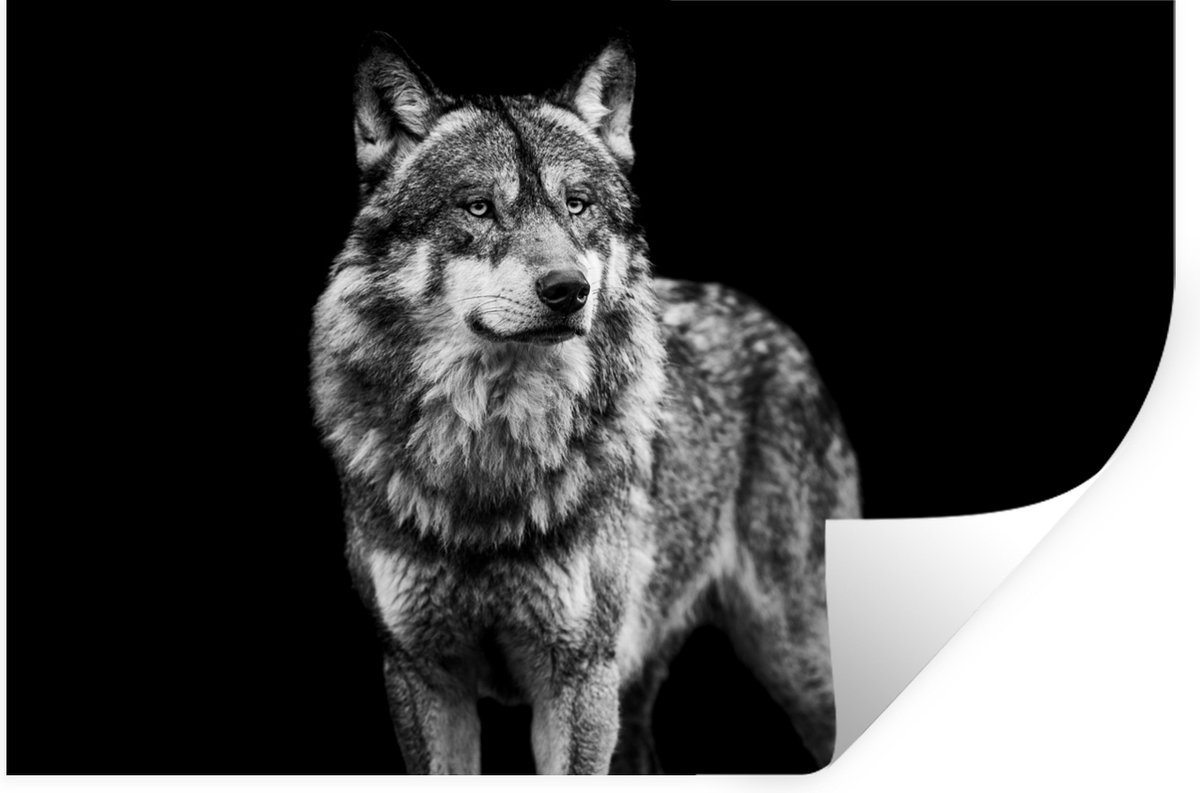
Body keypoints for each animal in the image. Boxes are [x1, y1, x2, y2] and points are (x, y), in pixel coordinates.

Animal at [310, 32, 861, 774]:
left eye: (577, 204)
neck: (492, 454)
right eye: (478, 207)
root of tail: (776, 328)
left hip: (792, 655)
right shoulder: (420, 673)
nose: (569, 289)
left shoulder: (577, 677)